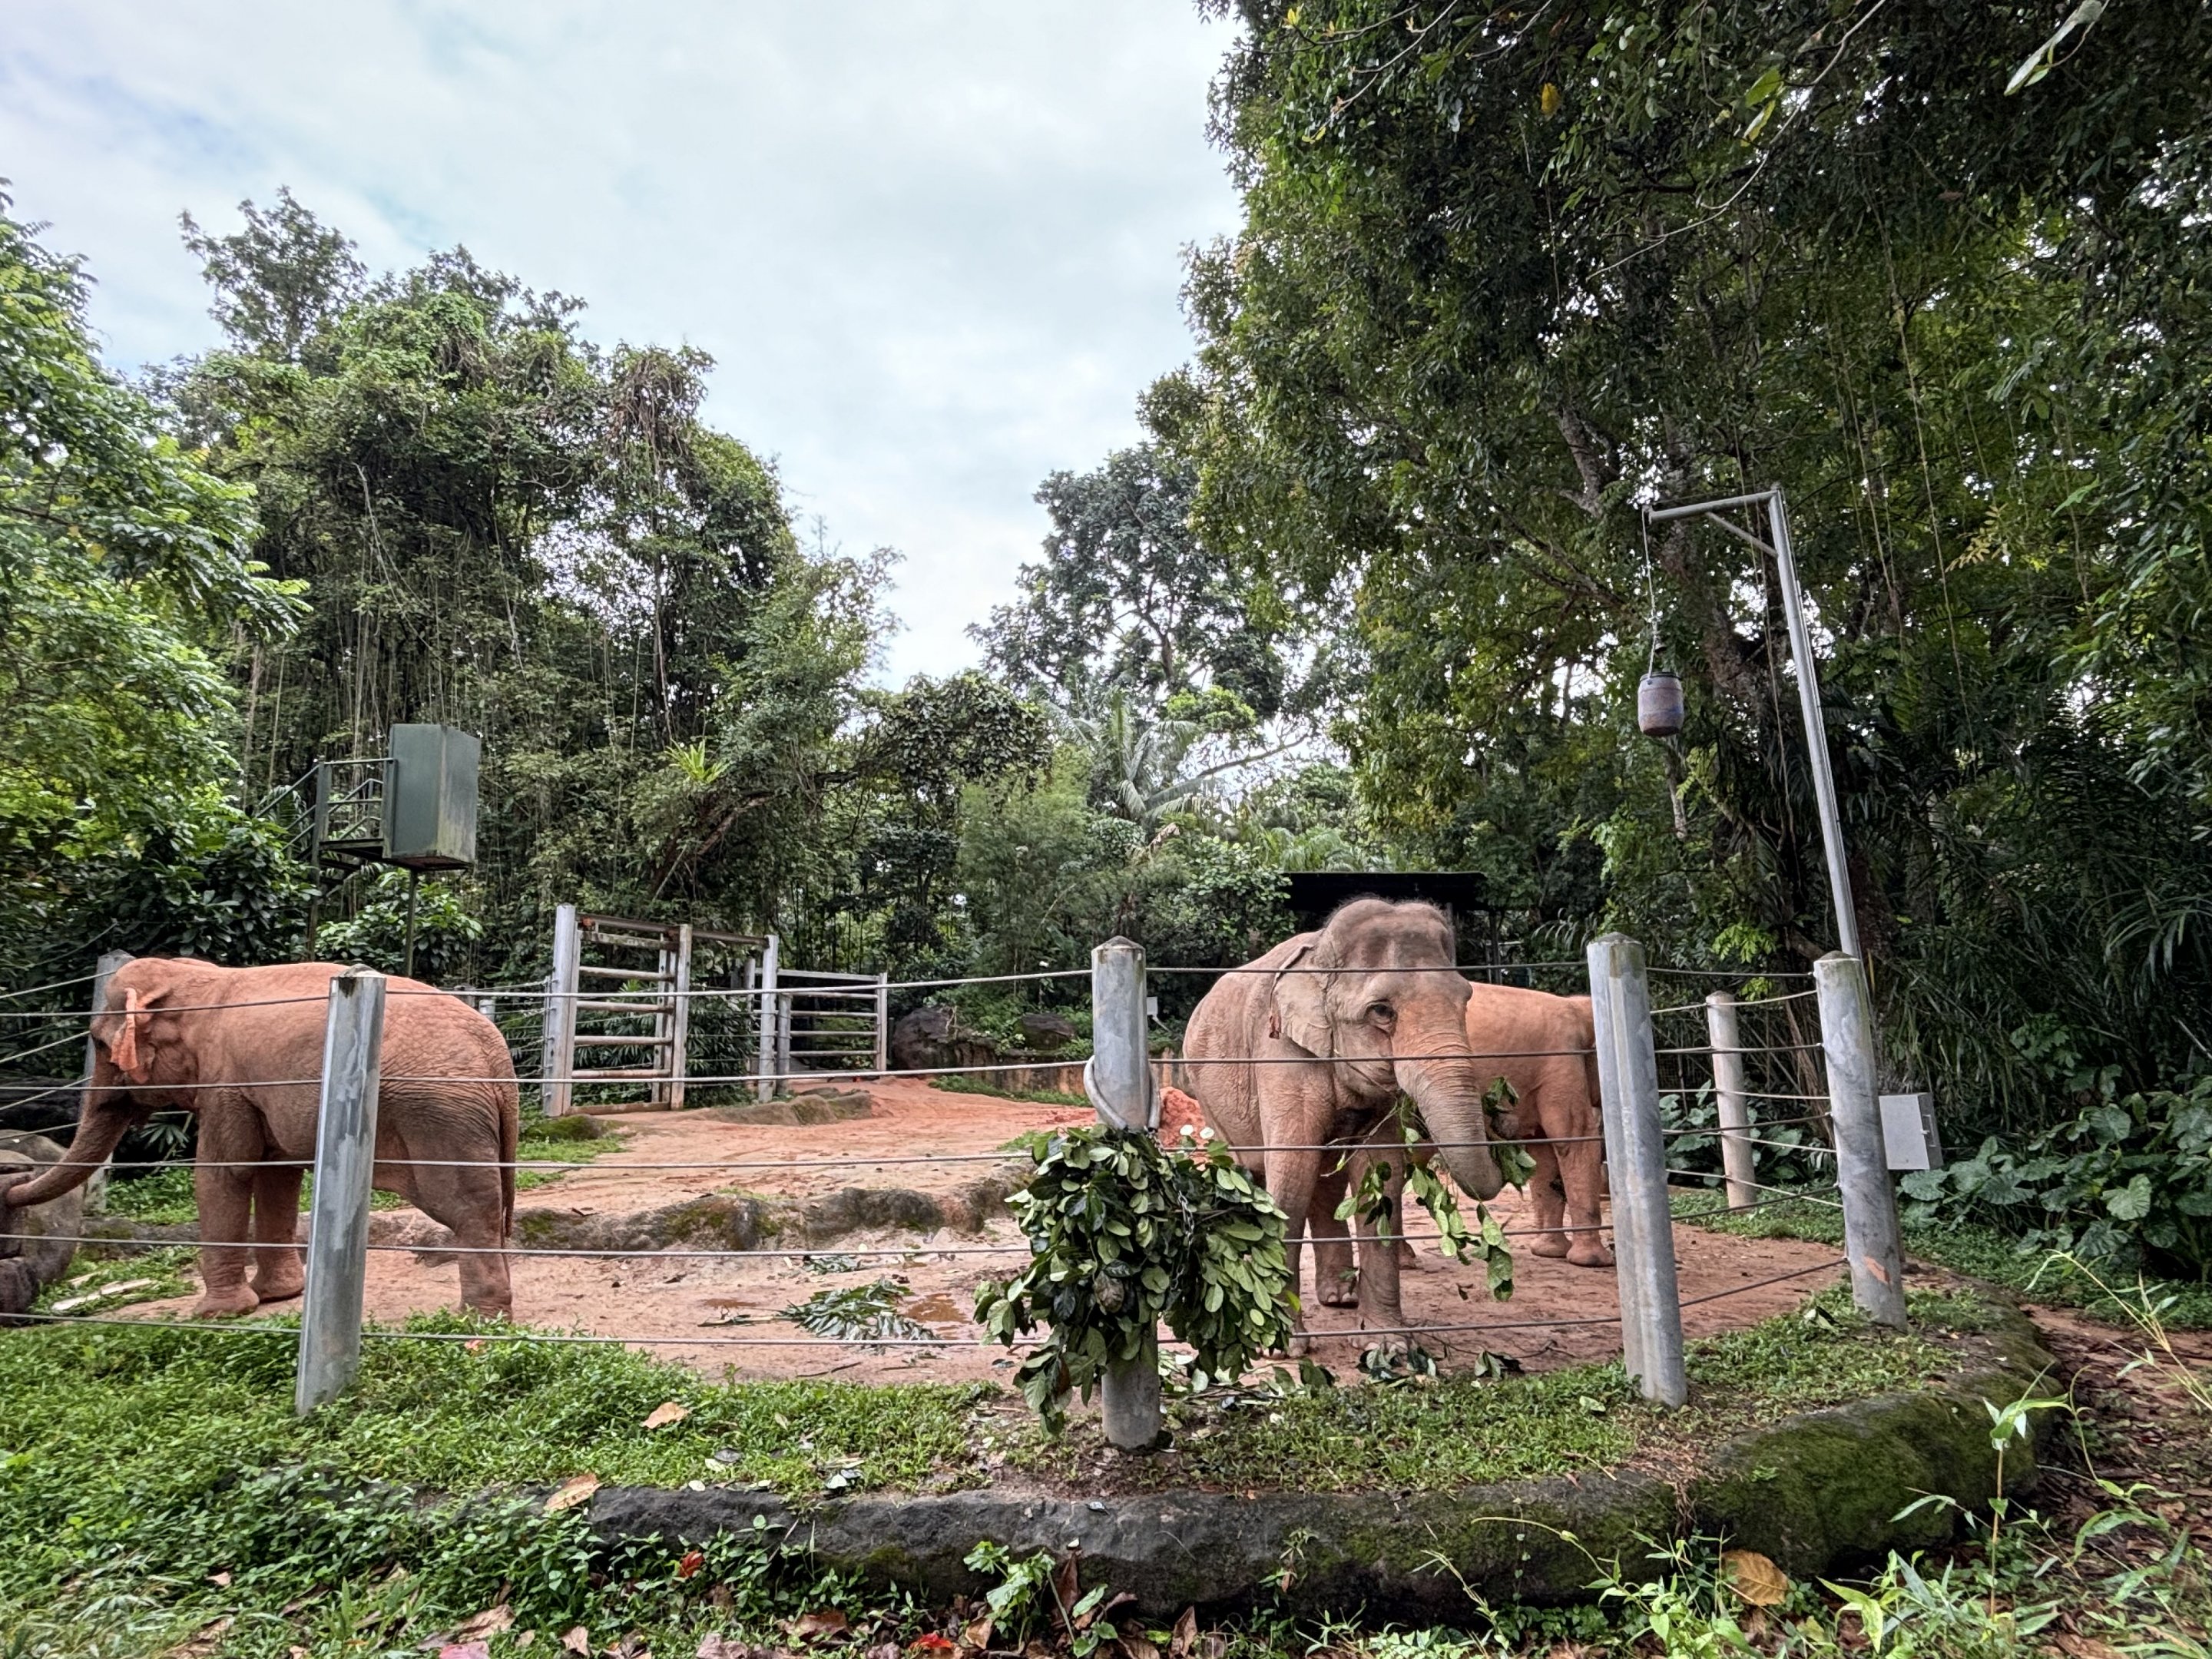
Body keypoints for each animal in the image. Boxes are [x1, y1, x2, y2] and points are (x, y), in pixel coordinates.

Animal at [0, 958, 518, 1318]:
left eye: (99, 1044)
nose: (11, 1181)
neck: (201, 981)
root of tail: (495, 1055)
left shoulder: (226, 1083)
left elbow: (222, 1173)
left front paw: (216, 1315)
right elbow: (277, 1176)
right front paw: (278, 1296)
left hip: (438, 1117)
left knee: (466, 1209)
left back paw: (477, 1322)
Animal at [1181, 899, 1509, 1345]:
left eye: (1465, 1000)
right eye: (1382, 1011)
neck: (1321, 959)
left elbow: (1380, 1173)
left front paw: (1388, 1344)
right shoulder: (1281, 1052)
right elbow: (1292, 1173)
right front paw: (1282, 1345)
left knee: (1326, 1184)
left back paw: (1341, 1298)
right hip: (1207, 1095)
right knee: (1255, 1173)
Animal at [1463, 983, 1613, 1269]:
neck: (1578, 1007)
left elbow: (1543, 1154)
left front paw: (1548, 1252)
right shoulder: (1562, 1061)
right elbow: (1576, 1138)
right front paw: (1594, 1262)